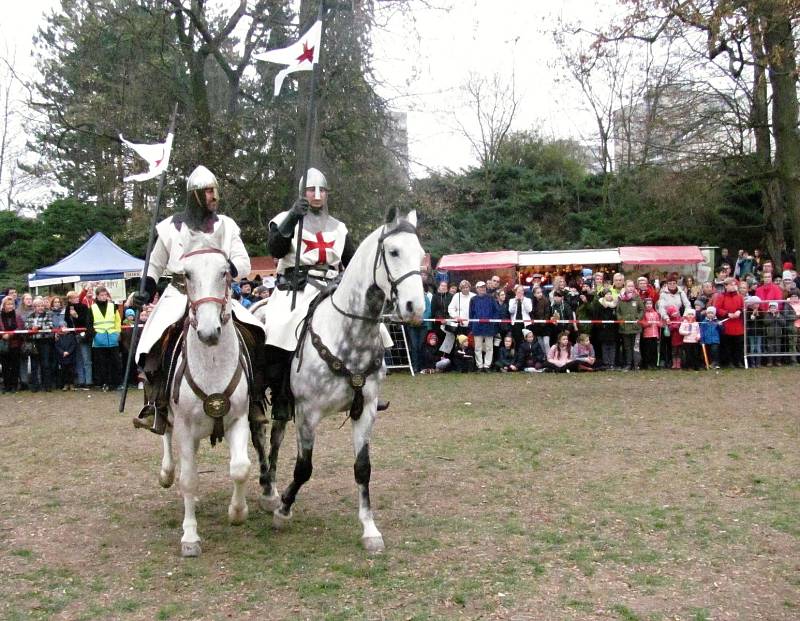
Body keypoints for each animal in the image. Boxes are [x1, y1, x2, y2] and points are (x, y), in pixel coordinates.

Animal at [158, 228, 252, 556]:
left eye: (225, 272)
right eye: (187, 275)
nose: (209, 333)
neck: (212, 365)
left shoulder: (238, 420)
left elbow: (240, 468)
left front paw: (238, 512)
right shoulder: (185, 427)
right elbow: (188, 480)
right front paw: (190, 536)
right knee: (166, 436)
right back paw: (166, 473)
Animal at [252, 206, 424, 548]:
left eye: (422, 255)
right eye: (394, 252)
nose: (415, 307)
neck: (348, 334)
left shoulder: (366, 410)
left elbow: (363, 468)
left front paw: (369, 529)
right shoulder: (308, 413)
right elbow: (304, 468)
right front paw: (284, 510)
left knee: (276, 434)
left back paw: (270, 488)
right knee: (259, 435)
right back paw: (267, 488)